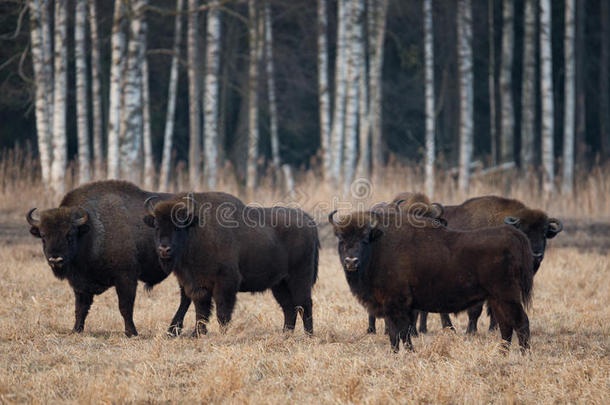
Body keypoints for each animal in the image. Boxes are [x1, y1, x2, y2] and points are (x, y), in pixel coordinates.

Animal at [26, 181, 189, 336]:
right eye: (43, 236)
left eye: (70, 235)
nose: (55, 259)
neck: (92, 230)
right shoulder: (80, 284)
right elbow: (80, 308)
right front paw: (76, 330)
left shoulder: (126, 278)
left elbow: (125, 306)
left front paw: (131, 332)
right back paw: (173, 330)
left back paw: (172, 330)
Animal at [144, 193, 318, 334]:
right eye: (157, 226)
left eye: (178, 227)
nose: (164, 249)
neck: (195, 230)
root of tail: (307, 220)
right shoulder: (197, 286)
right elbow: (201, 310)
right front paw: (198, 333)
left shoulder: (225, 282)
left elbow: (222, 312)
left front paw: (222, 334)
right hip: (279, 284)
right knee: (289, 307)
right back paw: (286, 334)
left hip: (299, 278)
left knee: (304, 304)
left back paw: (308, 334)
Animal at [328, 210, 532, 352]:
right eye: (341, 239)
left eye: (364, 239)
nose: (351, 262)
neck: (378, 246)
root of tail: (513, 234)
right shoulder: (395, 307)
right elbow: (396, 333)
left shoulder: (396, 304)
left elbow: (402, 332)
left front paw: (406, 353)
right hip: (497, 299)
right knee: (506, 327)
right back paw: (502, 354)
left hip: (507, 296)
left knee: (521, 322)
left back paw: (524, 355)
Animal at [418, 195, 560, 332]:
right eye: (524, 231)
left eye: (544, 233)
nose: (536, 255)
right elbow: (476, 310)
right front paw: (471, 331)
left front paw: (493, 329)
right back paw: (443, 329)